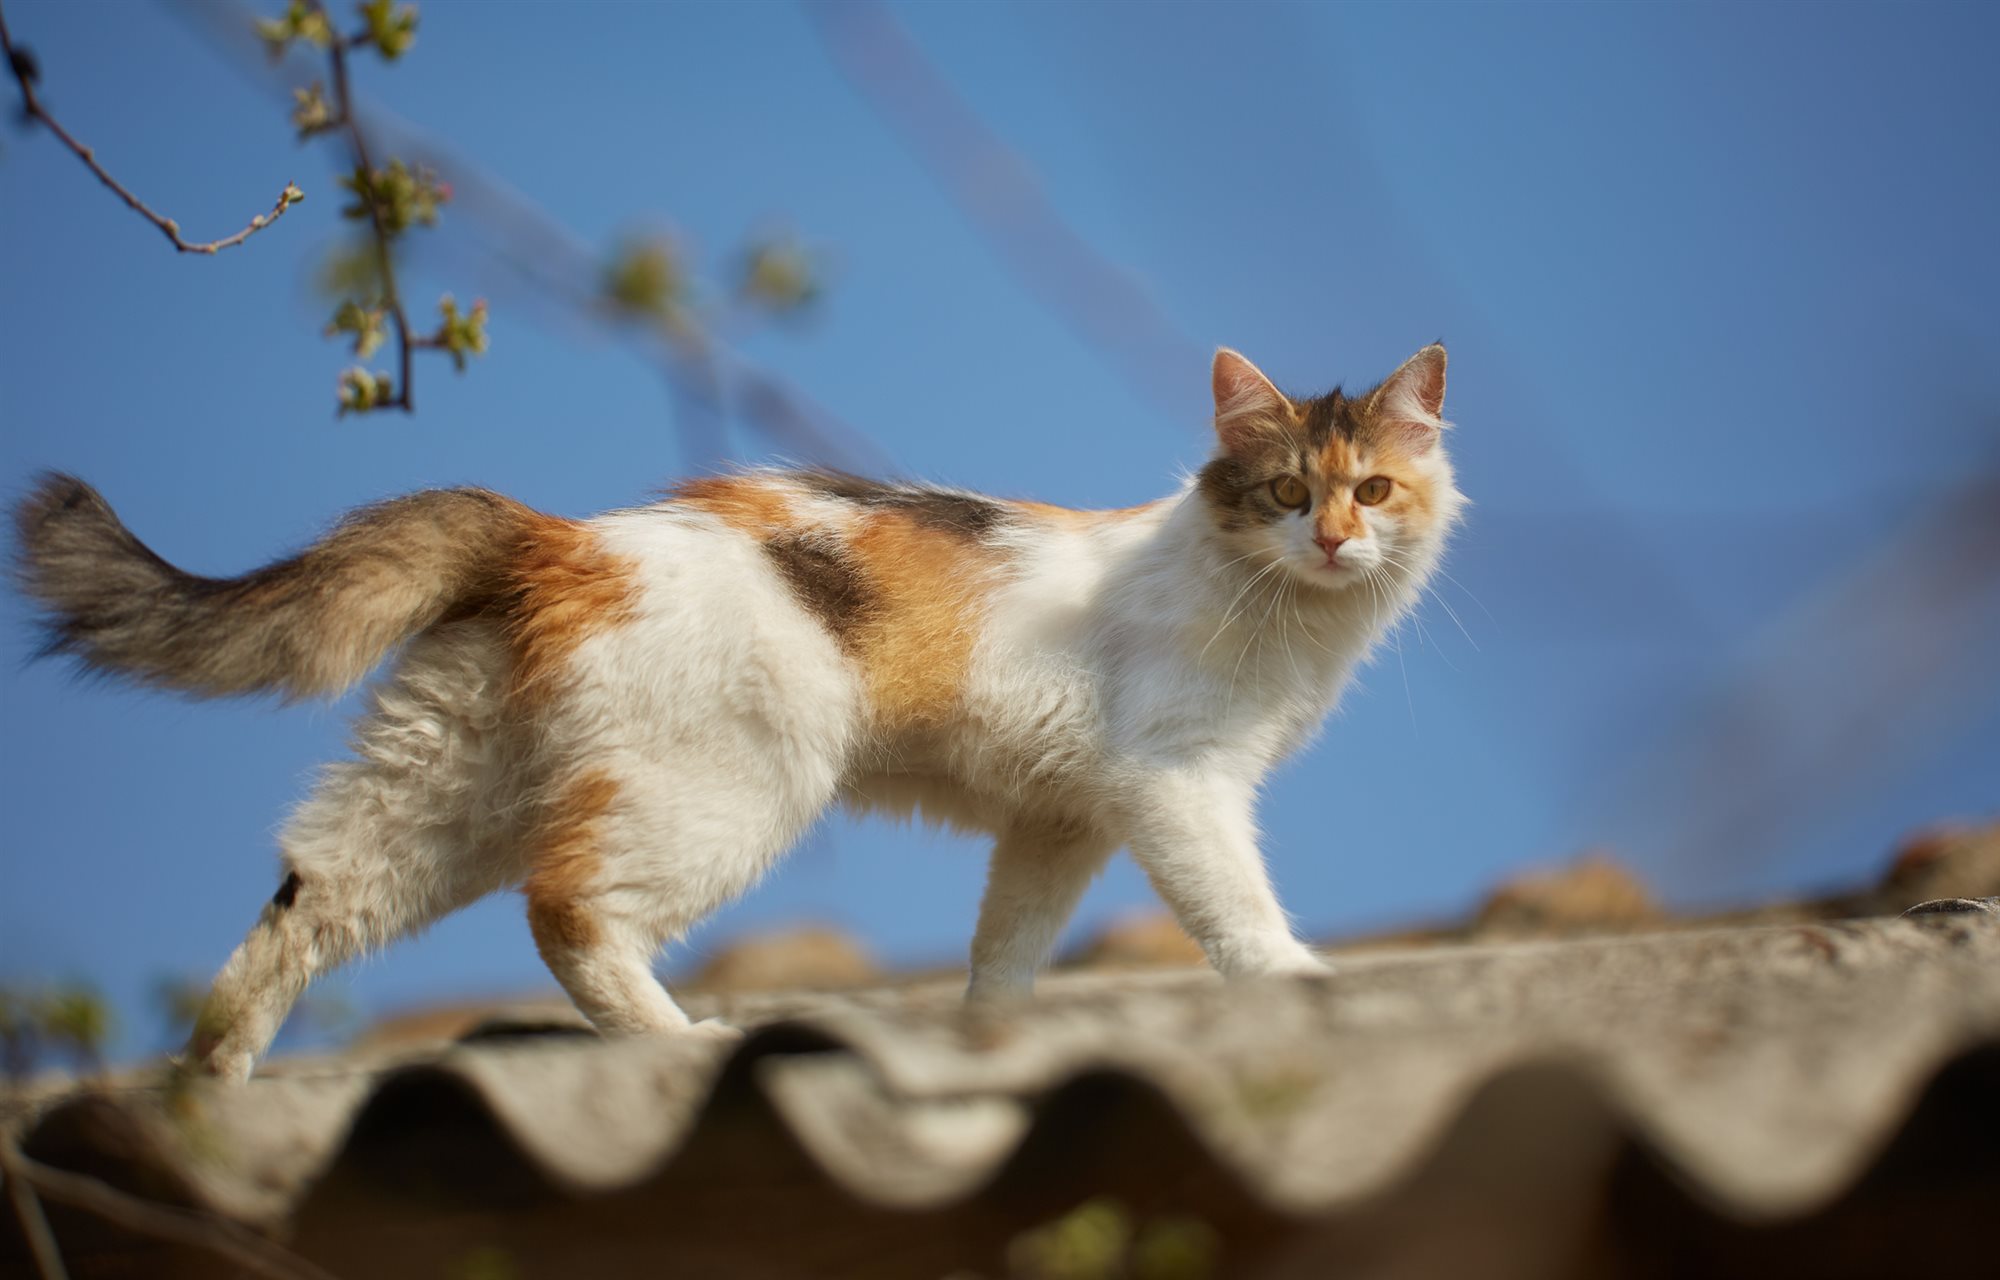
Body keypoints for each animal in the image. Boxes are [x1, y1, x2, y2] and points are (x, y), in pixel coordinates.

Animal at [7, 342, 1464, 1080]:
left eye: (1372, 491)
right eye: (1285, 493)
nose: (1335, 540)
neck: (1277, 608)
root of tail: (570, 536)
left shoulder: (1061, 821)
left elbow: (1006, 947)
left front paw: (988, 1026)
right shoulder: (1178, 784)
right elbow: (1233, 904)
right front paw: (1294, 976)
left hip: (445, 788)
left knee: (306, 895)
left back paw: (210, 1088)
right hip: (732, 782)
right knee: (568, 909)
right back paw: (675, 1037)